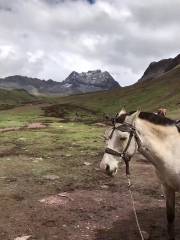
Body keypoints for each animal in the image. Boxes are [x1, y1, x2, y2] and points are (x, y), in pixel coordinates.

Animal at [99, 109, 180, 240]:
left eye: (123, 138)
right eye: (107, 137)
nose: (104, 167)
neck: (174, 153)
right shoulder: (167, 188)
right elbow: (170, 220)